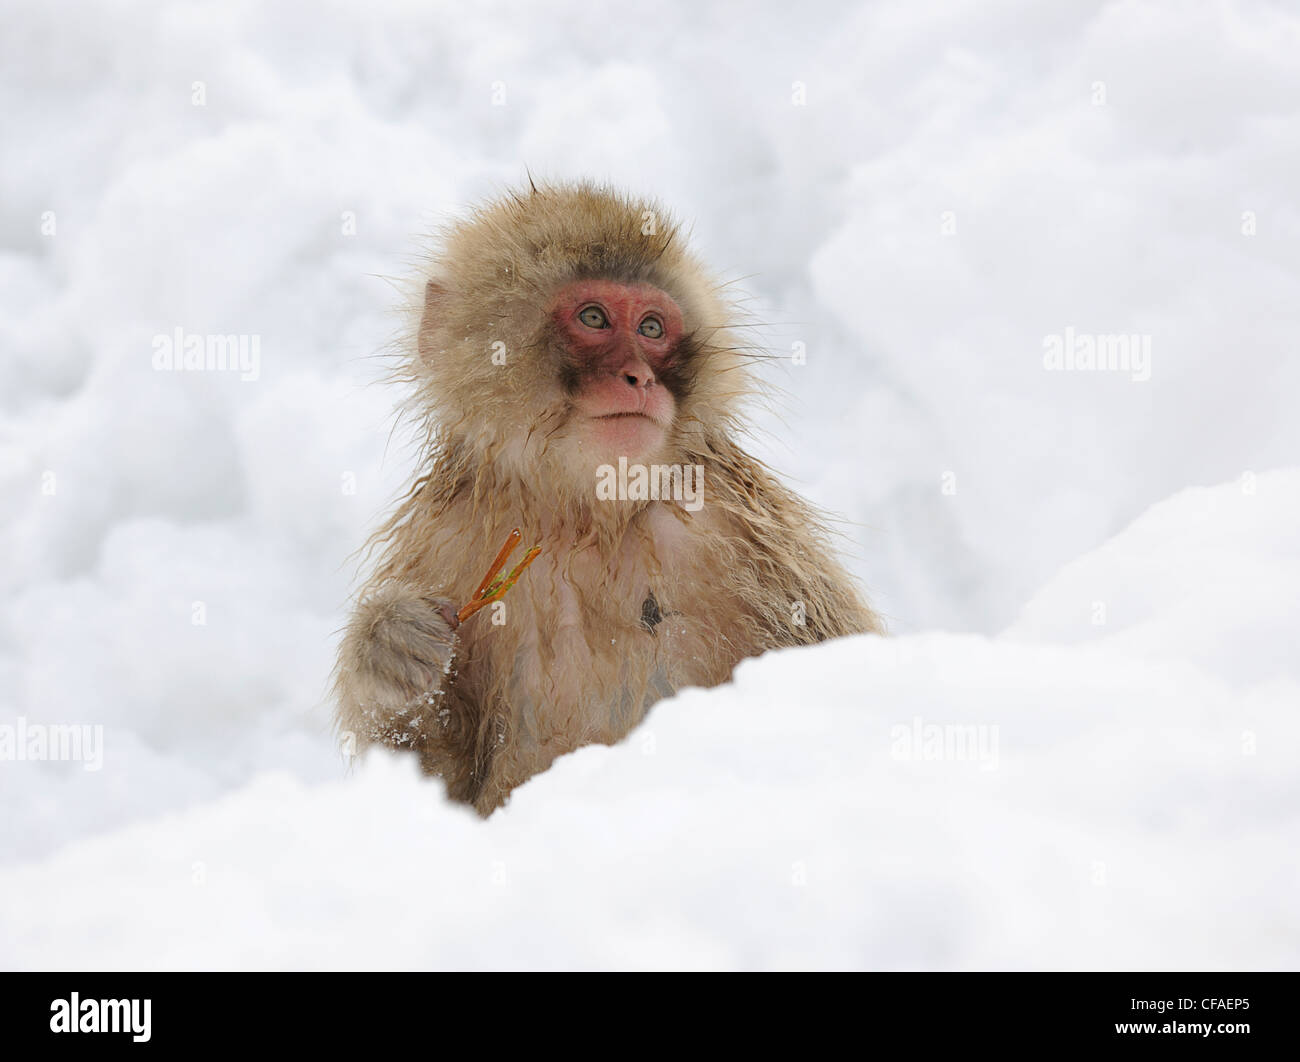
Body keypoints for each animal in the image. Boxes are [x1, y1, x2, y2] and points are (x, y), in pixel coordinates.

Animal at [335, 181, 883, 811]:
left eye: (651, 328)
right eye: (593, 317)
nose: (639, 377)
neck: (585, 519)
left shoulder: (748, 540)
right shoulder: (446, 545)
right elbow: (433, 787)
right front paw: (386, 647)